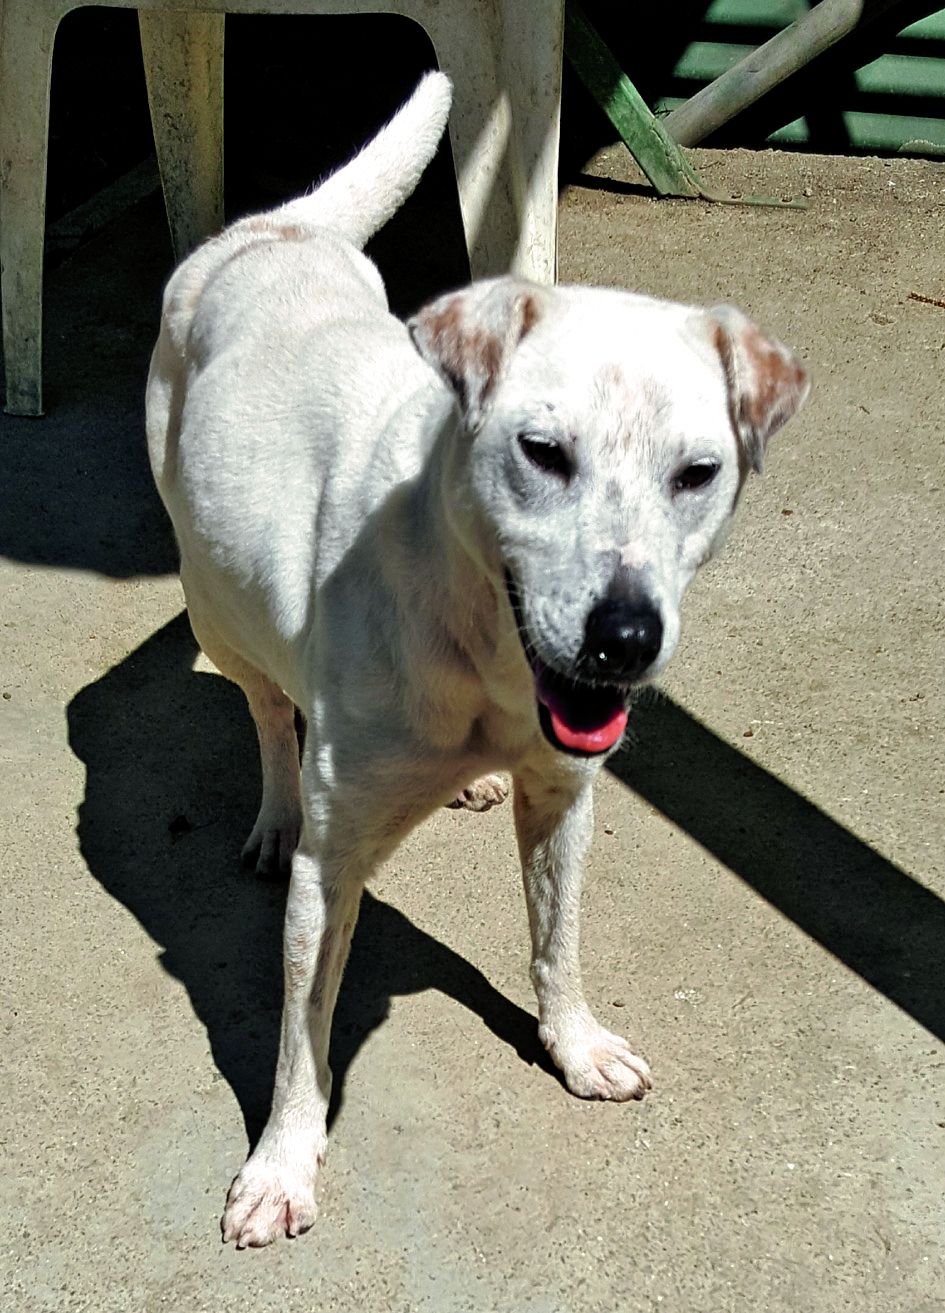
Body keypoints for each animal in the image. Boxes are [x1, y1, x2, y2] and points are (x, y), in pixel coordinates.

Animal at [143, 74, 808, 1249]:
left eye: (698, 473)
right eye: (542, 453)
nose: (624, 639)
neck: (483, 643)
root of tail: (276, 226)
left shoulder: (564, 795)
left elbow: (556, 938)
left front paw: (575, 1043)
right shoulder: (334, 866)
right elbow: (301, 1039)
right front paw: (281, 1165)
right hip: (211, 600)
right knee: (266, 703)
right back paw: (272, 809)